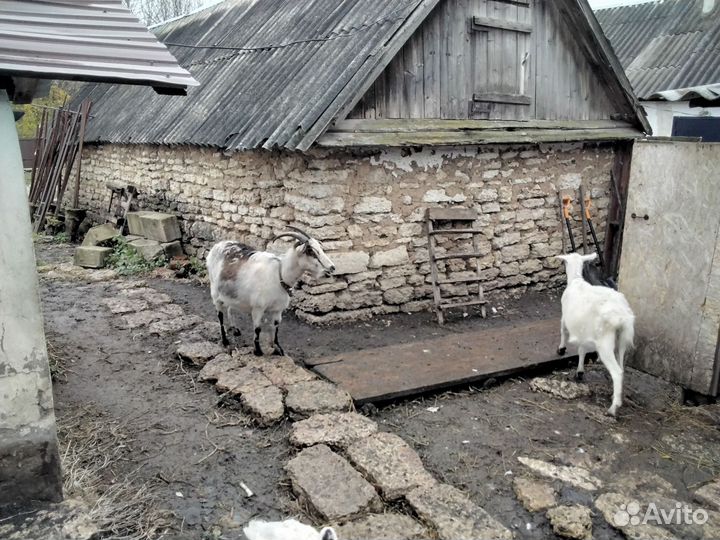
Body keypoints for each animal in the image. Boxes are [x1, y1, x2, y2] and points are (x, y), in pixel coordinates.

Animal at [207, 227, 335, 356]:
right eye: (310, 251)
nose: (332, 268)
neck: (279, 274)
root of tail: (217, 246)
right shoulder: (258, 308)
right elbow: (258, 329)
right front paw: (258, 351)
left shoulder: (278, 309)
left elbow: (276, 327)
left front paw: (278, 348)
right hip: (215, 292)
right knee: (220, 315)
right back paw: (225, 340)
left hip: (230, 293)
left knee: (230, 307)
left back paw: (235, 330)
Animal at [556, 253, 635, 416]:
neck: (576, 280)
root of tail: (622, 317)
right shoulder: (584, 331)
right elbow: (582, 350)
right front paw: (579, 372)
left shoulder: (564, 318)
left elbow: (563, 332)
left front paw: (561, 349)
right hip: (621, 341)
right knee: (622, 368)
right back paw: (616, 397)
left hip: (605, 343)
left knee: (617, 372)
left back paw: (613, 408)